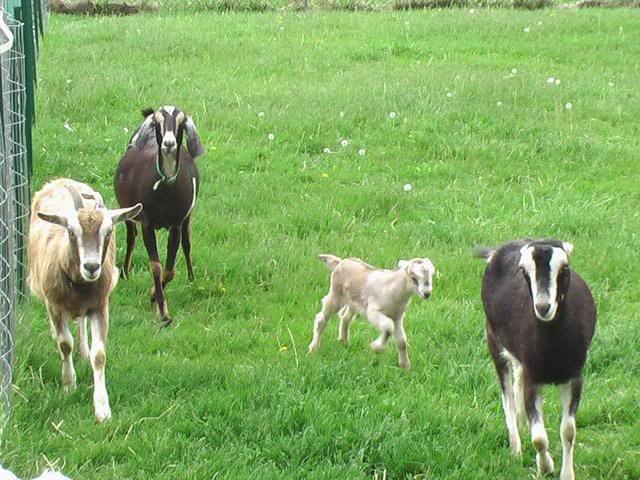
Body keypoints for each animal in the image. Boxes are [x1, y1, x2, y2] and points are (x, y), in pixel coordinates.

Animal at [28, 178, 141, 422]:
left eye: (109, 231)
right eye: (71, 231)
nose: (91, 266)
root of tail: (61, 180)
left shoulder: (100, 305)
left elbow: (99, 356)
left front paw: (102, 409)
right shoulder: (54, 305)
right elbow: (64, 344)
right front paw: (69, 385)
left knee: (80, 322)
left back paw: (83, 350)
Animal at [114, 106, 204, 328]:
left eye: (181, 122)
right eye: (157, 122)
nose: (169, 144)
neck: (164, 189)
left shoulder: (176, 224)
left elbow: (169, 270)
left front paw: (155, 294)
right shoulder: (147, 224)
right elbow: (156, 267)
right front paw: (162, 311)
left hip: (187, 218)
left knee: (187, 244)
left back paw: (191, 277)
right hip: (129, 213)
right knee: (131, 237)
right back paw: (126, 273)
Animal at [474, 239, 596, 480]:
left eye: (565, 267)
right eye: (523, 270)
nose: (543, 307)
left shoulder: (575, 377)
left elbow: (568, 431)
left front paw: (567, 474)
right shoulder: (533, 381)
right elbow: (539, 438)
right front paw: (545, 467)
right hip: (493, 340)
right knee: (508, 398)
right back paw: (516, 449)